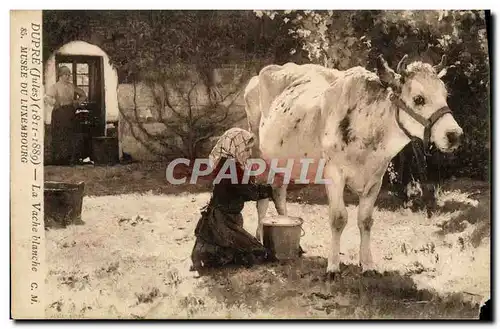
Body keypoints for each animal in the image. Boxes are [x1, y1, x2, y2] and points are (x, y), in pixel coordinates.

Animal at [244, 55, 462, 276]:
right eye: (419, 99)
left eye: (445, 95)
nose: (455, 135)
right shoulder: (334, 174)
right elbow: (338, 218)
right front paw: (333, 266)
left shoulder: (376, 179)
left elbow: (365, 220)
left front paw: (367, 264)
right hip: (259, 157)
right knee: (262, 201)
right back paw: (261, 238)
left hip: (283, 162)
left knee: (279, 195)